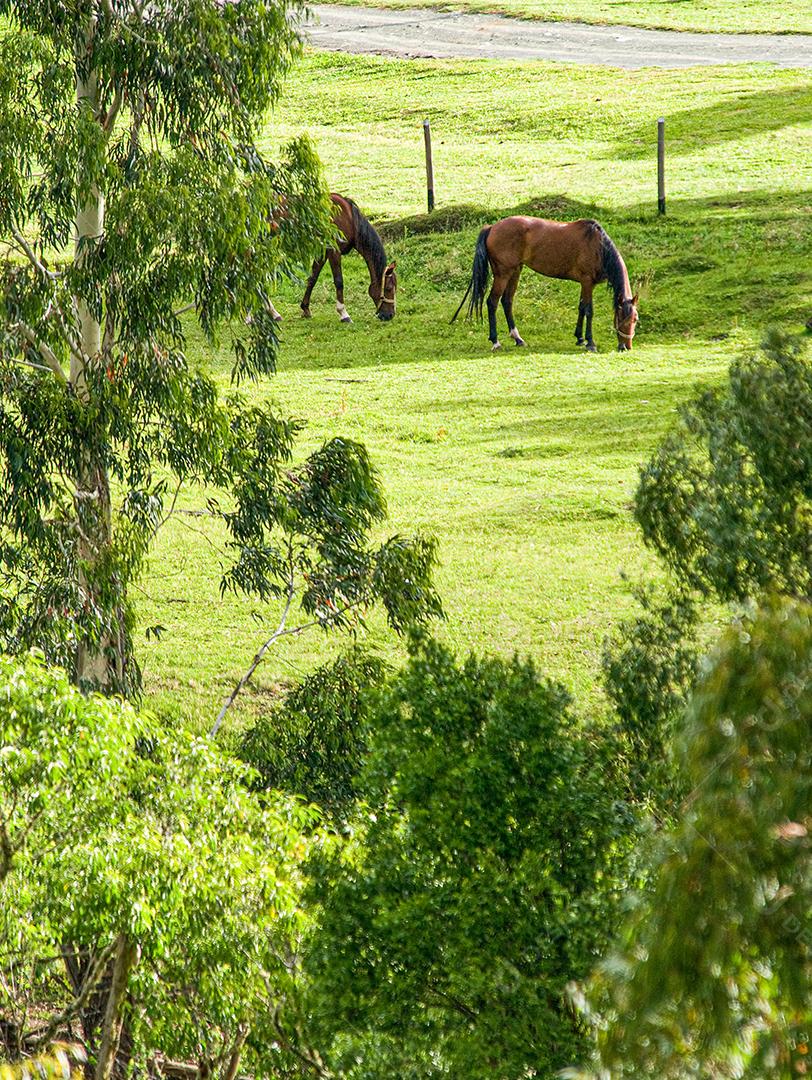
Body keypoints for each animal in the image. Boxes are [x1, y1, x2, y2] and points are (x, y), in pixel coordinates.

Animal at [453, 217, 639, 352]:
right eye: (622, 318)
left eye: (635, 319)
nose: (626, 346)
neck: (598, 247)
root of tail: (491, 227)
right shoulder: (587, 282)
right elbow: (588, 310)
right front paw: (590, 342)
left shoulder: (586, 284)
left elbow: (581, 308)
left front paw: (579, 338)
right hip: (503, 274)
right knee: (492, 302)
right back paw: (495, 341)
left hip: (515, 271)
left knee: (507, 301)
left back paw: (518, 339)